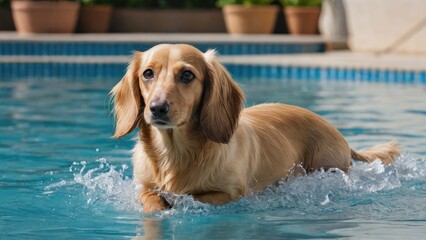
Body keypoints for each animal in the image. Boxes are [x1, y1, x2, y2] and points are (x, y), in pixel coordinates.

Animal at [110, 43, 400, 214]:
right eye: (148, 73)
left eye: (187, 75)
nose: (157, 108)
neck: (175, 155)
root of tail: (336, 132)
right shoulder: (145, 186)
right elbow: (151, 199)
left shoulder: (231, 193)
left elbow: (197, 197)